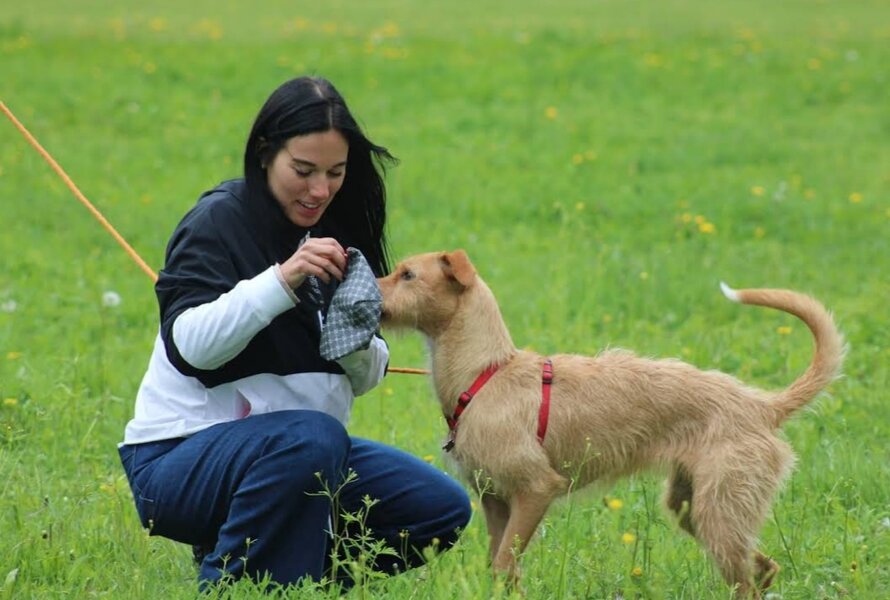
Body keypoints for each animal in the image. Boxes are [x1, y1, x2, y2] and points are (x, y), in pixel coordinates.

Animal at [377, 250, 844, 598]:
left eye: (407, 274)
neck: (487, 373)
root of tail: (761, 405)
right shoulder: (494, 499)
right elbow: (499, 567)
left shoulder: (535, 490)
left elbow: (507, 562)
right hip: (695, 508)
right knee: (763, 568)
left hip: (720, 509)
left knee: (747, 580)